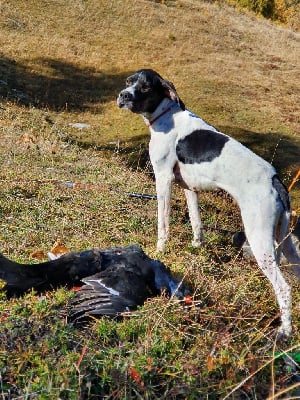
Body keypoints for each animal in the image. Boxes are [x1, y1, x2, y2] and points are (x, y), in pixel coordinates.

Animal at [117, 69, 300, 338]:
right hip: (284, 241)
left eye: (146, 87)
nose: (124, 95)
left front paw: (159, 251)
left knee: (284, 288)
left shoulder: (163, 179)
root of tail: (276, 180)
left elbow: (163, 224)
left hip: (260, 240)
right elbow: (196, 222)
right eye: (129, 81)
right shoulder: (189, 188)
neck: (166, 113)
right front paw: (196, 247)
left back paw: (285, 330)